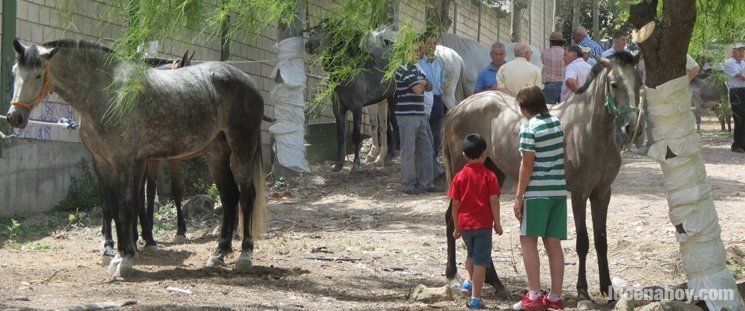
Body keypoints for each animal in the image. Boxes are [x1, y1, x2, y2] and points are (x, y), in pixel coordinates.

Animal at [8, 39, 268, 278]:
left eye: (38, 75)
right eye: (14, 72)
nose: (14, 117)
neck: (107, 93)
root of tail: (250, 83)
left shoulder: (125, 161)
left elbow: (126, 208)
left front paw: (126, 260)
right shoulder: (103, 163)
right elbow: (114, 209)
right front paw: (118, 254)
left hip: (242, 148)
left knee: (246, 196)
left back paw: (245, 255)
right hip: (216, 153)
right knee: (229, 197)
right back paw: (219, 253)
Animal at [442, 53, 640, 302]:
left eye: (638, 83)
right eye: (614, 84)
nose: (631, 127)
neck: (587, 129)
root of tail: (459, 108)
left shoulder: (602, 193)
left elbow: (601, 240)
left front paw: (608, 289)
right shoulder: (579, 193)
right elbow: (583, 242)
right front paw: (583, 291)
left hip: (492, 173)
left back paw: (495, 282)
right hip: (461, 174)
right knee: (452, 219)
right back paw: (452, 275)